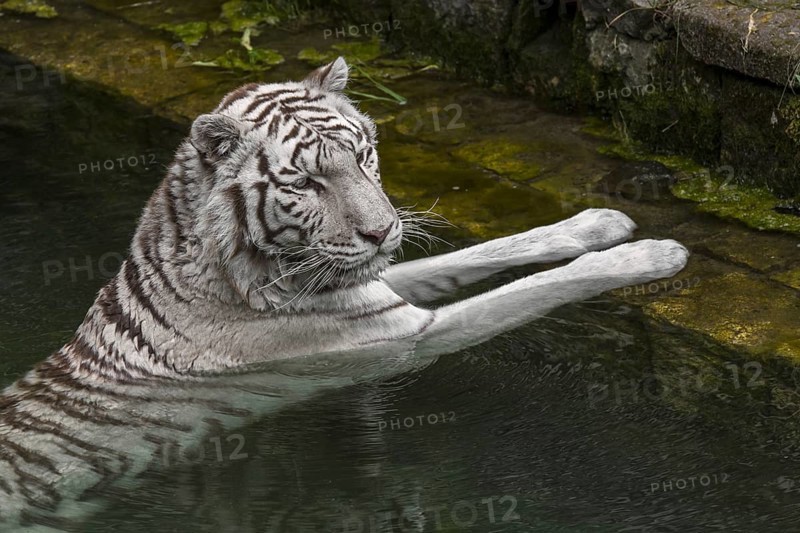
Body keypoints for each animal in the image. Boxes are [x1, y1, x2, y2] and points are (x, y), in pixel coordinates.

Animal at [0, 57, 688, 530]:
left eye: (364, 155)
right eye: (305, 182)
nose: (383, 231)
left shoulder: (376, 289)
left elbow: (488, 252)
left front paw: (600, 222)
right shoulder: (403, 337)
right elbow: (537, 287)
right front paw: (651, 254)